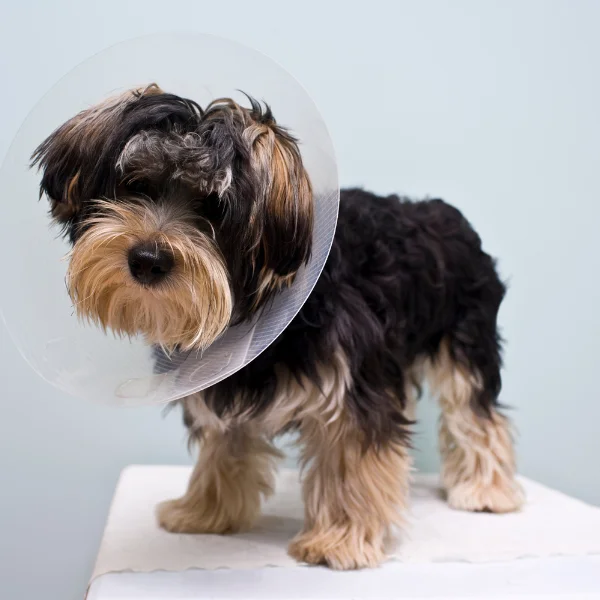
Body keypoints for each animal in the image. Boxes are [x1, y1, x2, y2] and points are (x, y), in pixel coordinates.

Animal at [32, 83, 524, 568]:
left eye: (214, 208)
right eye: (134, 185)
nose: (147, 259)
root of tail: (452, 216)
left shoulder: (350, 384)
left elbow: (351, 455)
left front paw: (337, 539)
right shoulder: (226, 378)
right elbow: (224, 444)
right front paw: (205, 511)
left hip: (465, 339)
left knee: (475, 411)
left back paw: (486, 490)